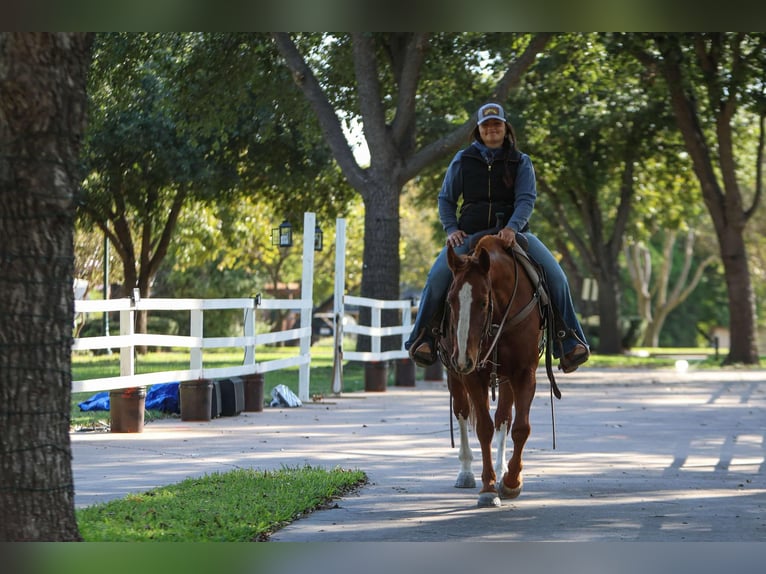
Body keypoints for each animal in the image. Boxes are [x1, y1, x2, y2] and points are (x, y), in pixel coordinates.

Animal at [439, 234, 550, 507]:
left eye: (483, 302)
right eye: (450, 301)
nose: (463, 357)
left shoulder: (524, 373)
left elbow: (520, 427)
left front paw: (510, 481)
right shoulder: (471, 375)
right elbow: (483, 429)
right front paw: (488, 488)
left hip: (505, 378)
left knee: (503, 419)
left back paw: (502, 471)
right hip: (455, 375)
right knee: (462, 412)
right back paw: (466, 472)